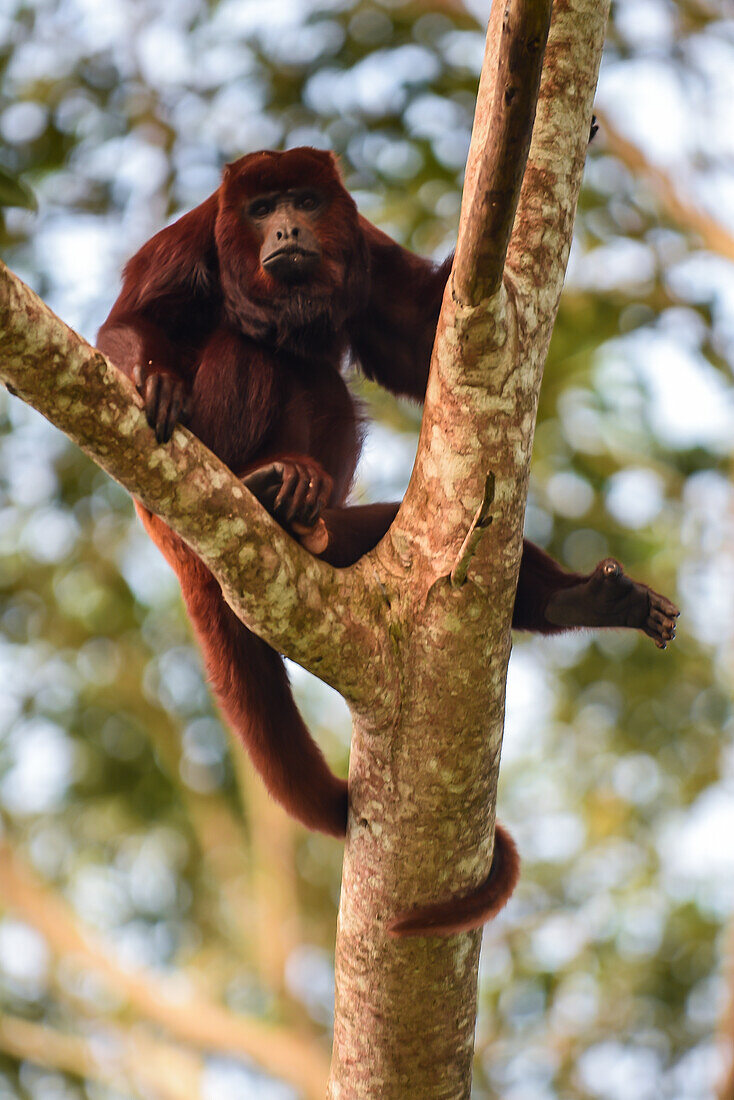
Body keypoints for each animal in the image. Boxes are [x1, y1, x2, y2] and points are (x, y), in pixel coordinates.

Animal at [96, 146, 677, 937]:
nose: (287, 230)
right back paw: (262, 480)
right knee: (254, 353)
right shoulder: (189, 239)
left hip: (356, 538)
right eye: (260, 208)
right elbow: (133, 322)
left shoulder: (362, 248)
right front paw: (150, 375)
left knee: (329, 399)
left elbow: (415, 343)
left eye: (306, 201)